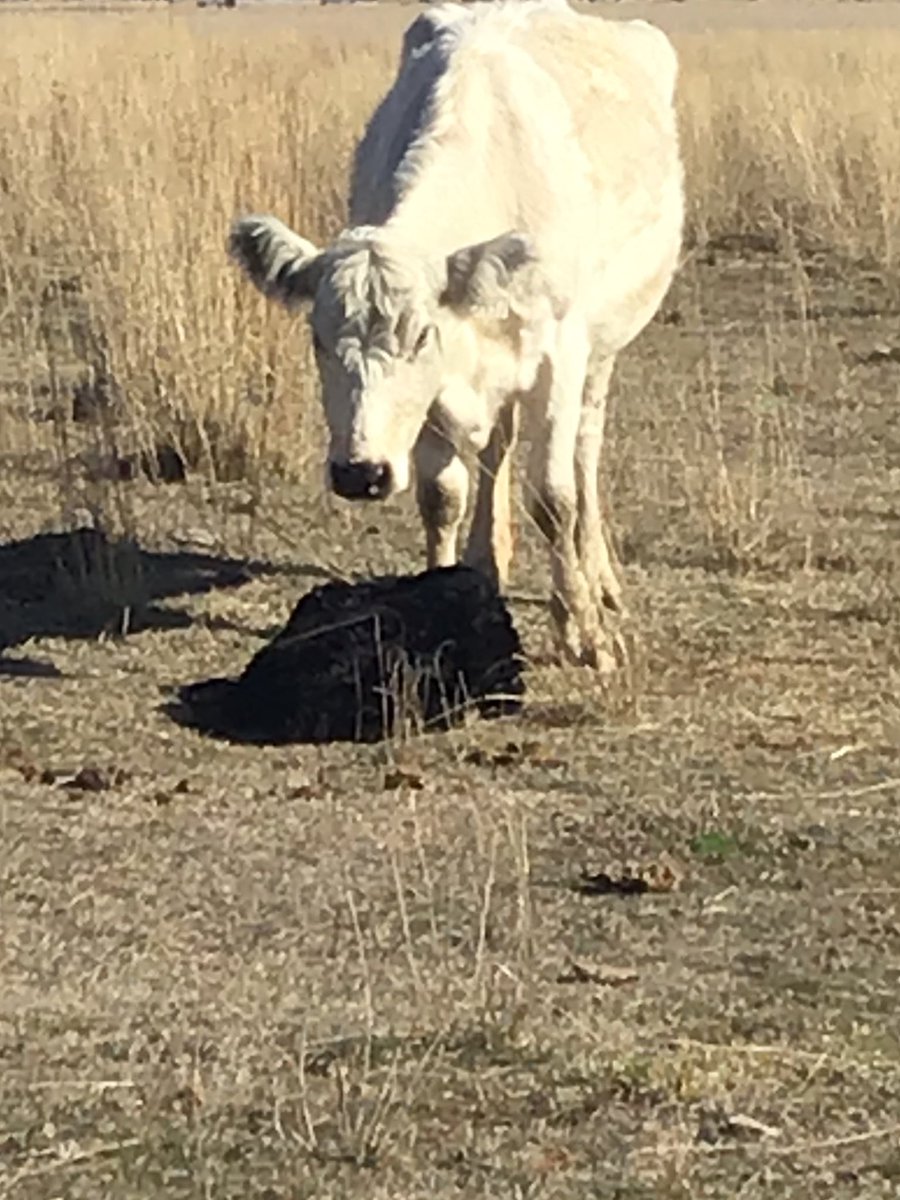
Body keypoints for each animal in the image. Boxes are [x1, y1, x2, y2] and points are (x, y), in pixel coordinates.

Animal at [229, 0, 683, 670]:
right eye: (316, 339)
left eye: (422, 336)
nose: (360, 473)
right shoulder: (438, 396)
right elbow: (442, 495)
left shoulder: (559, 357)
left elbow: (554, 498)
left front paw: (585, 633)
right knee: (496, 449)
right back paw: (486, 560)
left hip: (602, 350)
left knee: (585, 453)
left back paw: (599, 577)